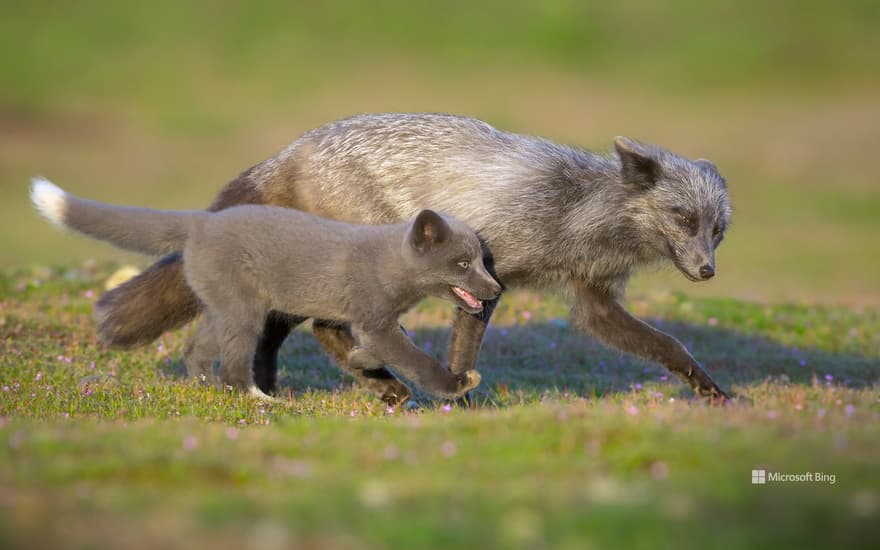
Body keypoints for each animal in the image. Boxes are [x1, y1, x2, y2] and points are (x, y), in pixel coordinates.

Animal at [93, 113, 732, 402]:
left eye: (717, 231)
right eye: (684, 220)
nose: (707, 272)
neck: (578, 212)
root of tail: (293, 148)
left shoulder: (593, 300)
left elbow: (671, 348)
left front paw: (714, 395)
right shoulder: (488, 274)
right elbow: (464, 348)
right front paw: (462, 400)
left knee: (279, 329)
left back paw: (276, 386)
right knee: (326, 326)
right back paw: (379, 384)